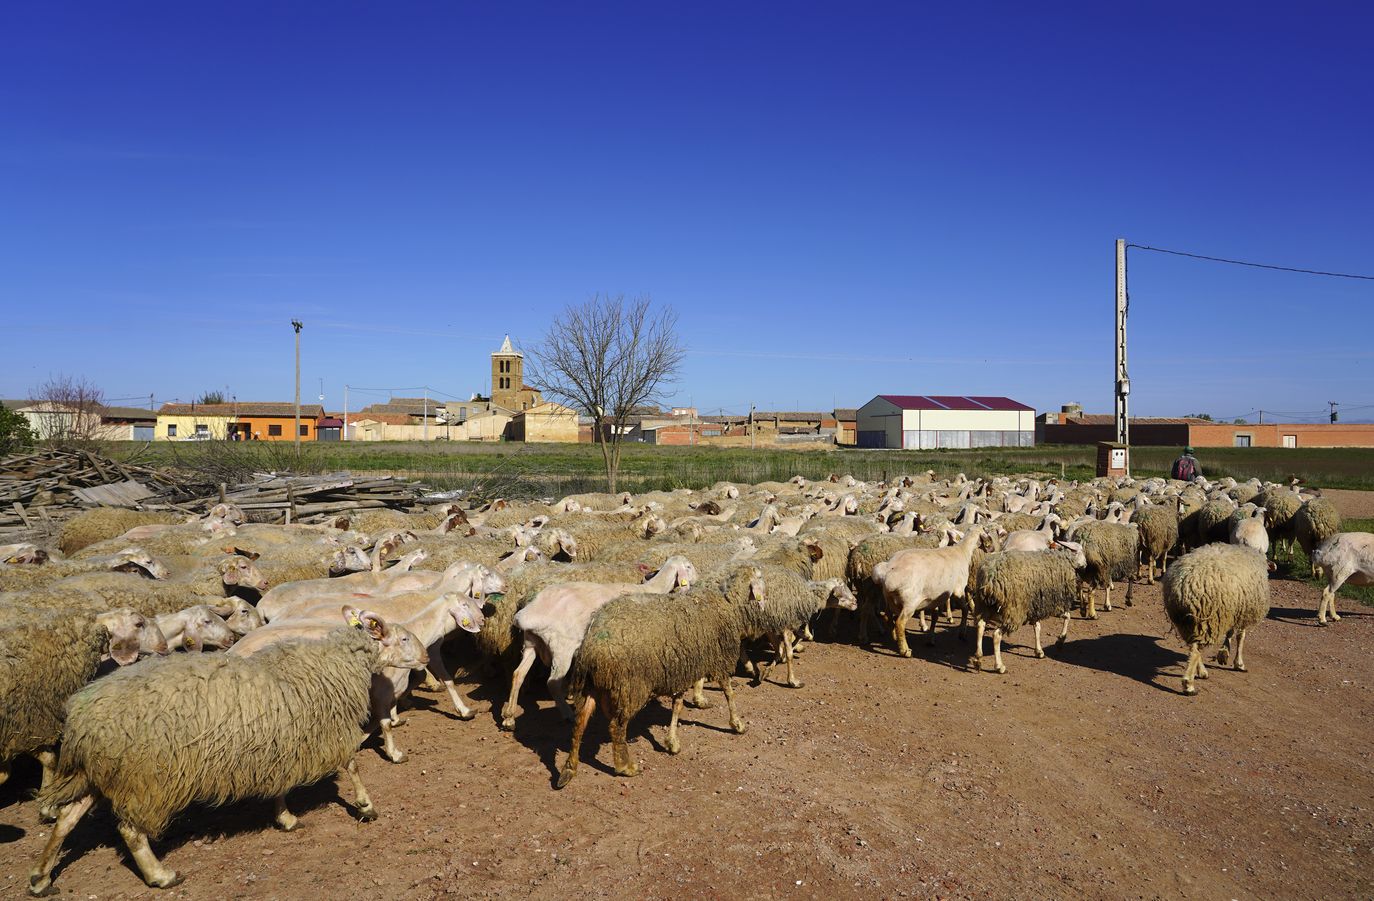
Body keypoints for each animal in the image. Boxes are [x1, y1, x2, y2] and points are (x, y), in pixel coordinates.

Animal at [30, 604, 428, 895]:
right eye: (403, 637)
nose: (425, 657)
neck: (336, 661)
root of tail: (81, 718)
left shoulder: (280, 742)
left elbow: (280, 784)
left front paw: (285, 818)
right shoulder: (327, 729)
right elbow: (353, 766)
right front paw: (366, 806)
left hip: (103, 773)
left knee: (67, 819)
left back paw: (41, 877)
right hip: (144, 777)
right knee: (130, 831)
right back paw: (160, 875)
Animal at [500, 552, 697, 730]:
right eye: (688, 566)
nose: (698, 578)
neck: (648, 590)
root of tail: (529, 613)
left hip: (531, 643)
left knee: (518, 674)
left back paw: (509, 717)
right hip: (562, 648)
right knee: (553, 683)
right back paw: (568, 714)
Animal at [873, 524, 983, 659]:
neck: (962, 551)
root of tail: (888, 570)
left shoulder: (935, 597)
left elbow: (935, 616)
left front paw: (931, 638)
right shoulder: (958, 590)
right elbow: (965, 609)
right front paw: (962, 633)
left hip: (889, 599)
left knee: (888, 616)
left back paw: (895, 637)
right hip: (910, 602)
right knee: (900, 622)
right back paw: (905, 650)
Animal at [1165, 541, 1269, 697]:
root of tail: (1184, 585)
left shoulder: (1235, 609)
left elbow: (1231, 633)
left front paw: (1224, 653)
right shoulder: (1244, 612)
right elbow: (1241, 636)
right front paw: (1238, 663)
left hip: (1190, 622)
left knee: (1193, 647)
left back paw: (1201, 672)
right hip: (1207, 618)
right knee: (1195, 651)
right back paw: (1189, 685)